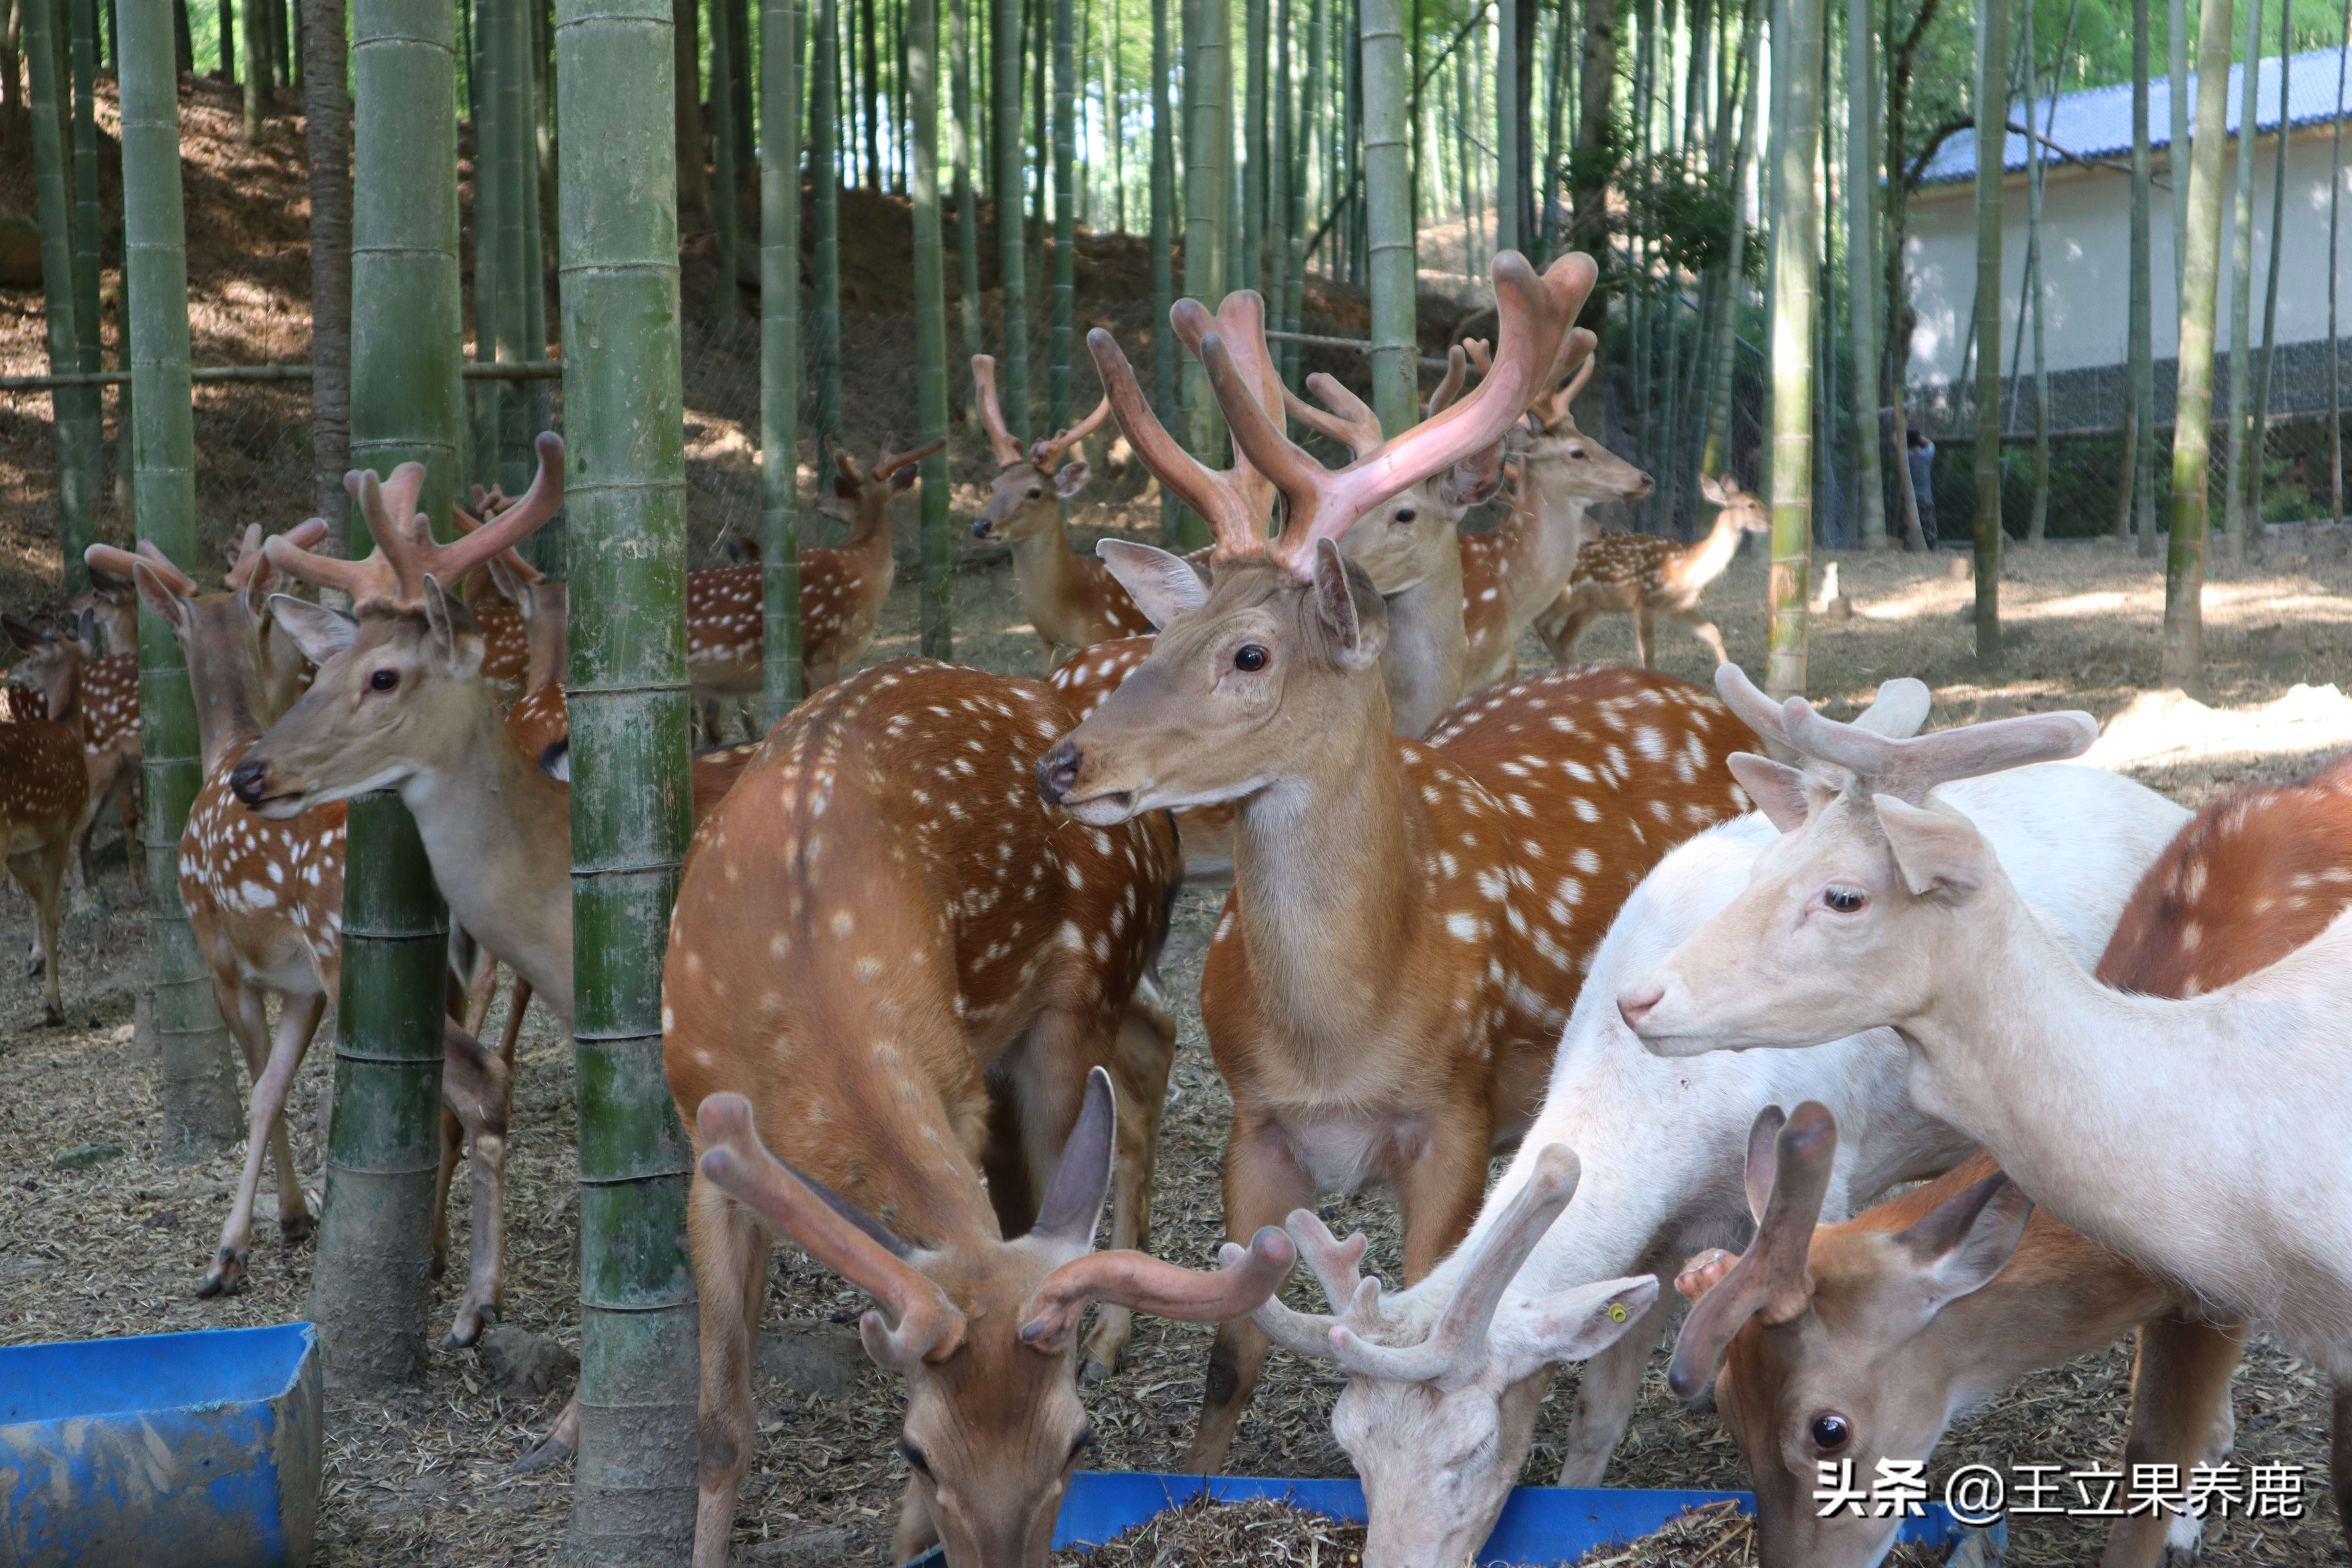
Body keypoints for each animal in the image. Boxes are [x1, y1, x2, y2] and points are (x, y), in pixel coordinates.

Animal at [665, 657, 1290, 1568]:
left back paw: (1108, 1335)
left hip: (1073, 1001)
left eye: (1079, 1443)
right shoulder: (703, 1134)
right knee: (1142, 1052)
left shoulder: (955, 1086)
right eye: (916, 1450)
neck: (801, 965)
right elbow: (719, 1426)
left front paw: (904, 1541)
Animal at [1539, 473, 1773, 670]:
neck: (1686, 569)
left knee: (1564, 640)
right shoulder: (1646, 601)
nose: (1771, 521)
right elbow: (1648, 656)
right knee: (1541, 624)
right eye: (1751, 505)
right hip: (1567, 594)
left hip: (1591, 606)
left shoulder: (1678, 607)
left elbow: (1713, 632)